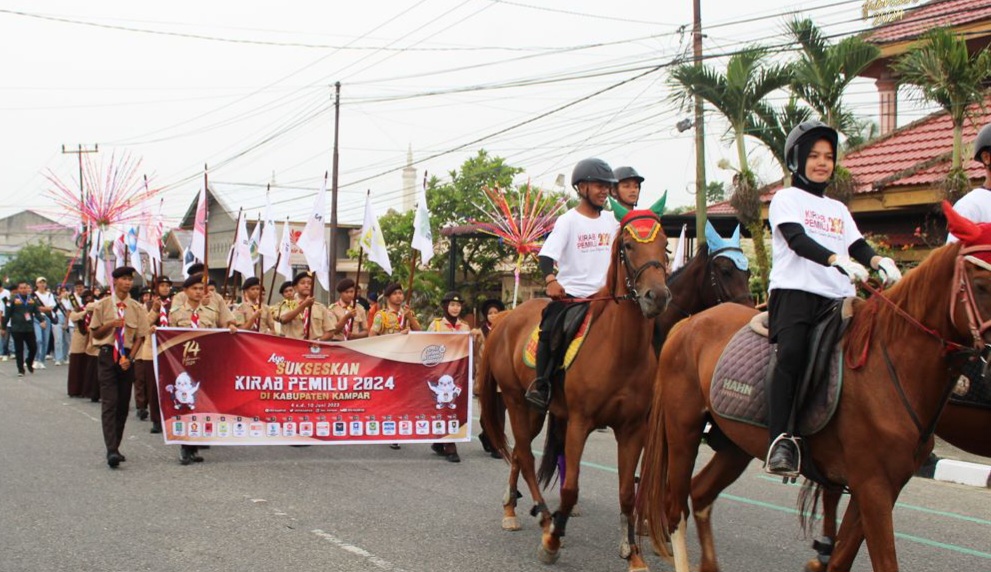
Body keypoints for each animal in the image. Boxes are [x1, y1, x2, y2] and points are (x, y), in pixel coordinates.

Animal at [476, 203, 672, 568]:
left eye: (666, 245)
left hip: (537, 411)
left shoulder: (633, 428)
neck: (620, 350)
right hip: (516, 401)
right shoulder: (580, 422)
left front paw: (634, 555)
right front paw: (552, 541)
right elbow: (570, 488)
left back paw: (515, 508)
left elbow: (627, 492)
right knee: (525, 455)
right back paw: (541, 517)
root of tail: (505, 319)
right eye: (628, 246)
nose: (657, 297)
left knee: (520, 454)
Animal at [636, 240, 991, 572]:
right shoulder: (873, 486)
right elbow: (883, 561)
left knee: (701, 493)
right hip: (683, 432)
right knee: (675, 508)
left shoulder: (880, 487)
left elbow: (841, 559)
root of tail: (688, 324)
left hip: (736, 444)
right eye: (982, 284)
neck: (888, 366)